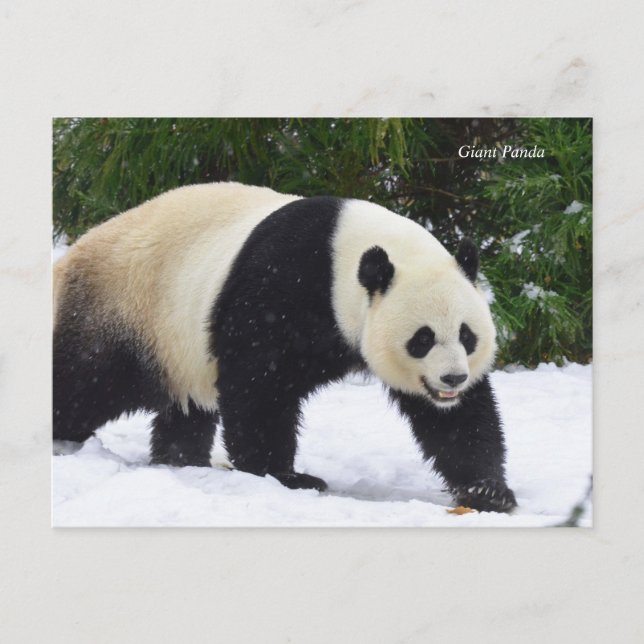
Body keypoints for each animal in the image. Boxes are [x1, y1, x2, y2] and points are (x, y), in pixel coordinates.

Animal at [53, 182, 517, 513]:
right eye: (422, 338)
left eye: (467, 335)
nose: (452, 378)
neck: (347, 255)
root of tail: (71, 255)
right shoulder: (281, 285)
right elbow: (260, 385)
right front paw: (283, 476)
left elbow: (458, 420)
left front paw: (487, 491)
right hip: (126, 308)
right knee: (86, 380)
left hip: (177, 345)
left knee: (185, 409)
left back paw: (181, 459)